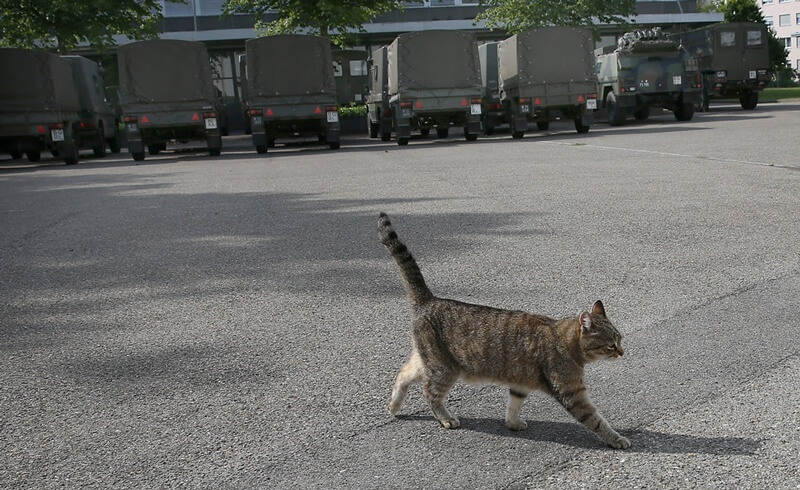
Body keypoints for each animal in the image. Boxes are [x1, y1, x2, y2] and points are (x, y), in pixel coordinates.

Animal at [378, 212, 636, 450]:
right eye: (611, 344)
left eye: (620, 339)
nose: (622, 352)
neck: (564, 339)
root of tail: (429, 300)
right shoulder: (573, 393)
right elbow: (596, 420)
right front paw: (617, 438)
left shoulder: (520, 384)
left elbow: (513, 405)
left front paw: (513, 423)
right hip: (443, 369)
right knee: (430, 393)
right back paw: (445, 418)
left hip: (428, 361)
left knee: (403, 374)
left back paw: (394, 404)